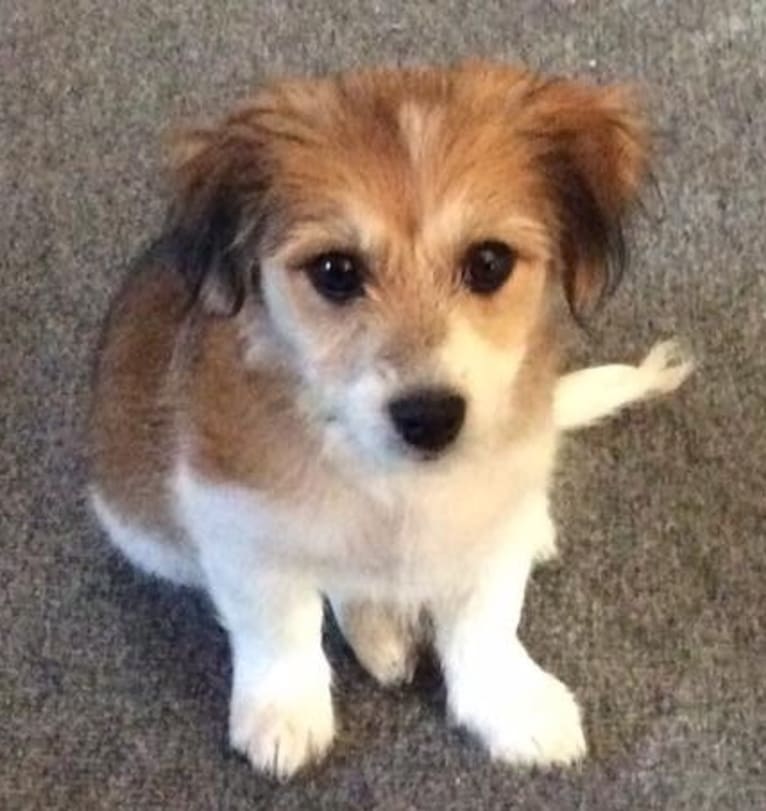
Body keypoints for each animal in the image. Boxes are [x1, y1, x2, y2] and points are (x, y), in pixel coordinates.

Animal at [88, 60, 696, 776]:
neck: (393, 482)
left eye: (489, 262)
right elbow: (279, 621)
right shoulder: (238, 518)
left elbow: (488, 617)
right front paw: (285, 710)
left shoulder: (490, 508)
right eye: (335, 271)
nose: (430, 418)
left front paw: (509, 701)